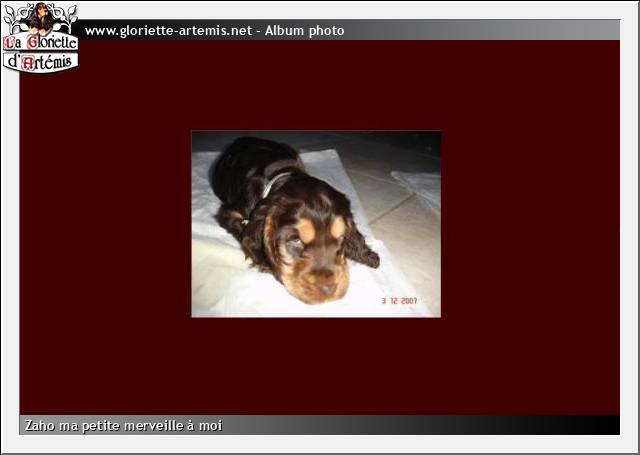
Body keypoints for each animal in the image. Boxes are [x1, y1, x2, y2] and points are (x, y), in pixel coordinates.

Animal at [211, 137, 380, 304]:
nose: (329, 289)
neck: (282, 175)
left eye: (341, 238)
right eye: (295, 240)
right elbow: (244, 233)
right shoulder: (229, 213)